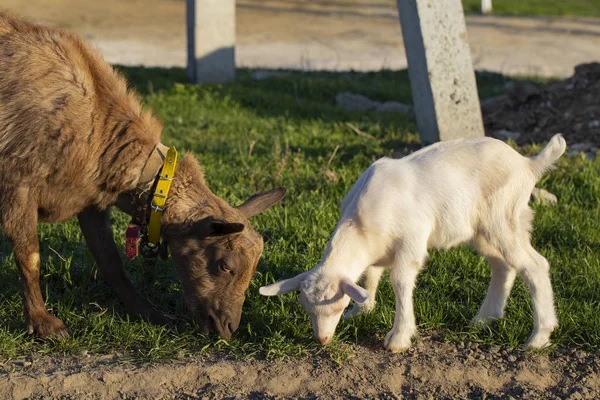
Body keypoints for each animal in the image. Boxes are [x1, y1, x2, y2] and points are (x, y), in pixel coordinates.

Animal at [0, 10, 286, 340]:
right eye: (225, 265)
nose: (227, 328)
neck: (98, 126)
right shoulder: (19, 183)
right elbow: (30, 256)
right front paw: (43, 323)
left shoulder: (90, 202)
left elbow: (112, 263)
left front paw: (153, 314)